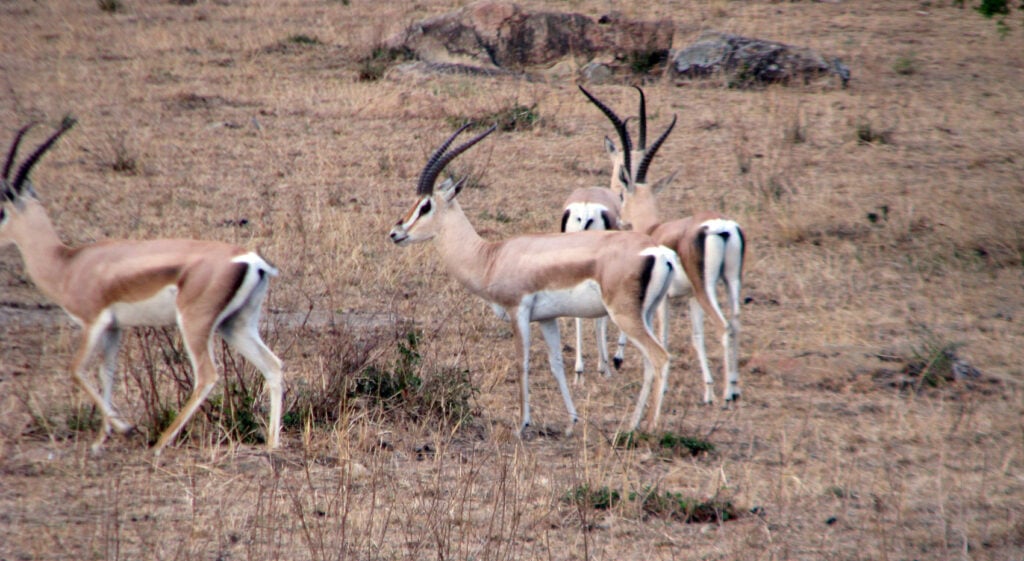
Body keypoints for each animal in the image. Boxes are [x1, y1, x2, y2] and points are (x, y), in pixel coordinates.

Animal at [0, 118, 284, 454]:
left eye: (1, 211)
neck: (68, 264)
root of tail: (251, 259)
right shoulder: (114, 328)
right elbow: (106, 372)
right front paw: (101, 439)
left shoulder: (93, 322)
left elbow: (76, 370)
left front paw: (124, 428)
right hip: (235, 325)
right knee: (273, 366)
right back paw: (272, 444)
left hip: (194, 324)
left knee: (206, 376)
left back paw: (161, 442)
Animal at [389, 123, 681, 435]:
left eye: (426, 206)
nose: (396, 233)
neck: (491, 257)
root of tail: (658, 251)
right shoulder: (547, 318)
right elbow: (556, 364)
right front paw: (572, 421)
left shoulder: (518, 311)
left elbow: (522, 362)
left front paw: (522, 424)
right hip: (645, 314)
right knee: (650, 361)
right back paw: (632, 425)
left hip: (624, 315)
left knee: (660, 357)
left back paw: (649, 427)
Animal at [584, 87, 746, 406]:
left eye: (622, 195)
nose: (619, 220)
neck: (654, 229)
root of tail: (720, 227)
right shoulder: (689, 298)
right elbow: (696, 338)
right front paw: (706, 390)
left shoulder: (664, 300)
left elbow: (664, 337)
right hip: (730, 280)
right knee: (735, 322)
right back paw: (732, 388)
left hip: (707, 287)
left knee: (724, 326)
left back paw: (729, 394)